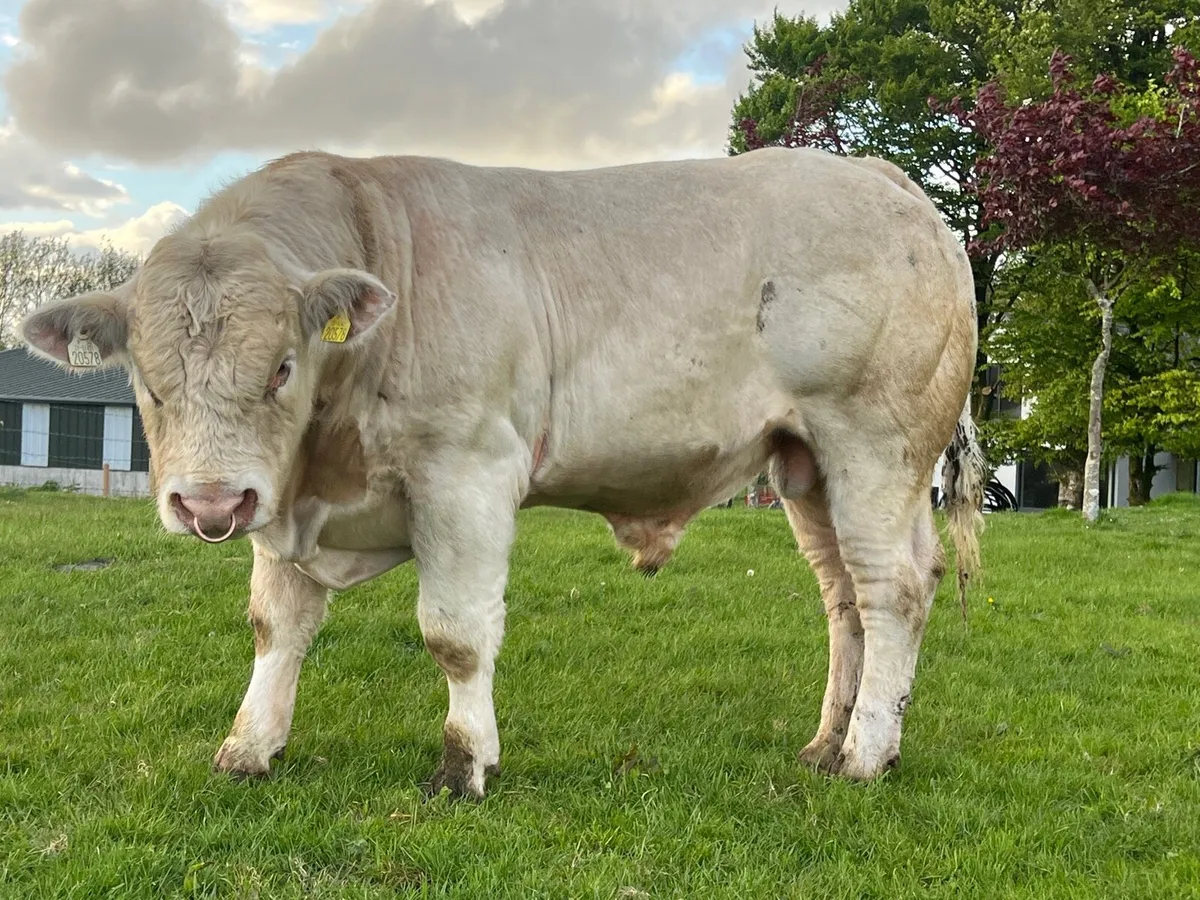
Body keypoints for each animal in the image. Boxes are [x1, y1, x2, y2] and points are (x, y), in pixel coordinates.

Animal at [21, 146, 986, 800]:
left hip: (874, 446)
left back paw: (864, 755)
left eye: (282, 369)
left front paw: (464, 764)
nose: (209, 502)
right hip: (808, 466)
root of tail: (882, 178)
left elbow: (454, 633)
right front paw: (250, 747)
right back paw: (832, 741)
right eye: (147, 382)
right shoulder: (284, 497)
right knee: (845, 597)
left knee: (894, 590)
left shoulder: (467, 473)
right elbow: (276, 626)